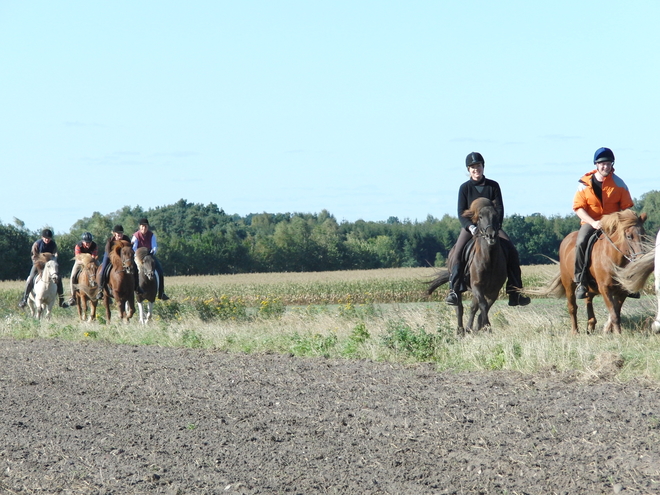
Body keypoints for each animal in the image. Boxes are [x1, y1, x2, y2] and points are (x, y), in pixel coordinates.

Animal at [430, 199, 508, 338]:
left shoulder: (494, 290)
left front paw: (479, 327)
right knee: (459, 308)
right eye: (480, 216)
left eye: (496, 215)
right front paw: (487, 327)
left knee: (473, 307)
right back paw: (460, 331)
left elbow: (483, 307)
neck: (489, 260)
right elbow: (483, 305)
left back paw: (469, 328)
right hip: (458, 286)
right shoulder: (477, 286)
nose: (491, 235)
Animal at [544, 209, 648, 338]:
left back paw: (591, 325)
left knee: (588, 300)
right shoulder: (605, 289)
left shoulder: (622, 291)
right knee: (572, 307)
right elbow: (614, 314)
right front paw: (618, 335)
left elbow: (615, 312)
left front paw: (609, 330)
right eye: (629, 236)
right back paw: (575, 331)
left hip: (589, 288)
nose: (641, 259)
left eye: (644, 234)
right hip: (568, 284)